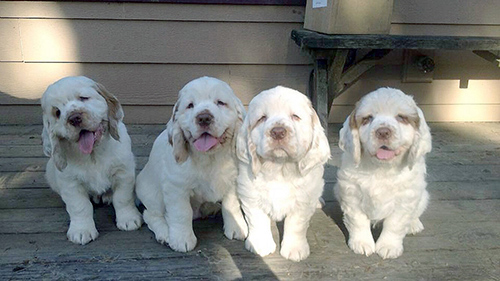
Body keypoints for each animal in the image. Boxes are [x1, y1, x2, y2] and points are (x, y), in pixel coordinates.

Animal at [40, 75, 143, 244]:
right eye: (57, 112)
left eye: (83, 98)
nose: (74, 118)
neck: (93, 154)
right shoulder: (70, 183)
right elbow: (80, 206)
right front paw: (82, 231)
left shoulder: (123, 172)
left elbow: (122, 198)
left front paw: (129, 220)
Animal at [137, 76, 248, 252]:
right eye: (190, 105)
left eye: (220, 103)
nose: (204, 118)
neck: (210, 158)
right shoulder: (176, 187)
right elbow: (181, 213)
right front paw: (181, 239)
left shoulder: (233, 181)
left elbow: (231, 205)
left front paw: (236, 228)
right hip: (152, 196)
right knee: (151, 215)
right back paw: (164, 234)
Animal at [236, 86, 330, 260]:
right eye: (262, 118)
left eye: (295, 116)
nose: (278, 131)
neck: (279, 168)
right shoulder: (249, 193)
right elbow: (257, 219)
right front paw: (260, 245)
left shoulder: (304, 199)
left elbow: (296, 224)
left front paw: (295, 249)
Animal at [336, 87, 434, 258]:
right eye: (367, 119)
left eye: (401, 117)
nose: (383, 132)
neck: (381, 168)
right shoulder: (351, 193)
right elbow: (358, 221)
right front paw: (362, 243)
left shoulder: (405, 198)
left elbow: (395, 224)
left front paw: (388, 246)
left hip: (423, 196)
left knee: (416, 212)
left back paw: (414, 224)